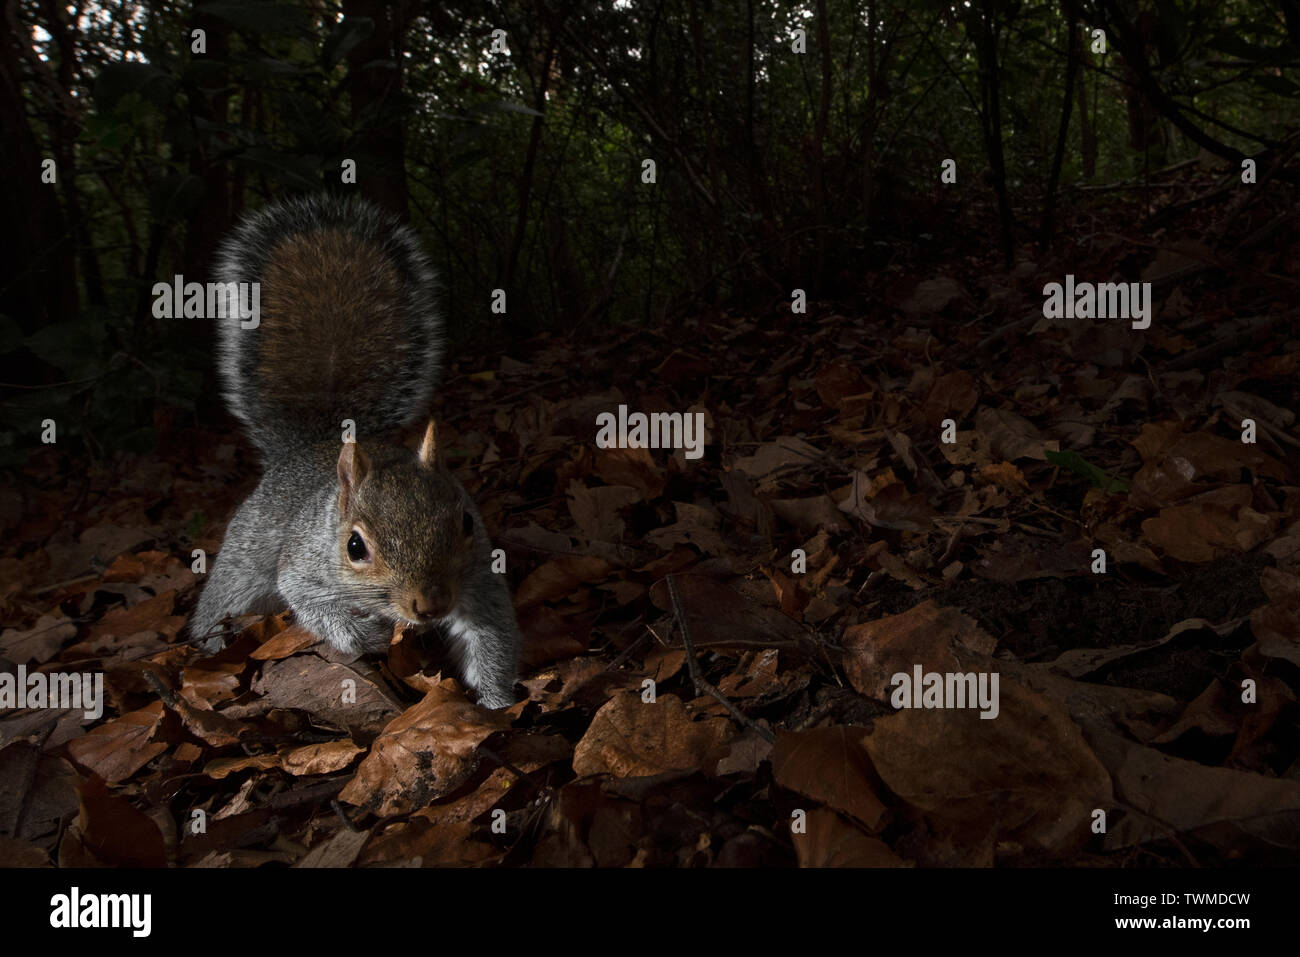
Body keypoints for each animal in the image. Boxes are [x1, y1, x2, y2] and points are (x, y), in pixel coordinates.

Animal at [189, 193, 520, 709]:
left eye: (467, 522)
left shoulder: (479, 577)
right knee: (223, 600)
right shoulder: (304, 567)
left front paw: (497, 704)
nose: (430, 605)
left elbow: (490, 636)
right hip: (244, 561)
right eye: (354, 547)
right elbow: (312, 604)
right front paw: (366, 636)